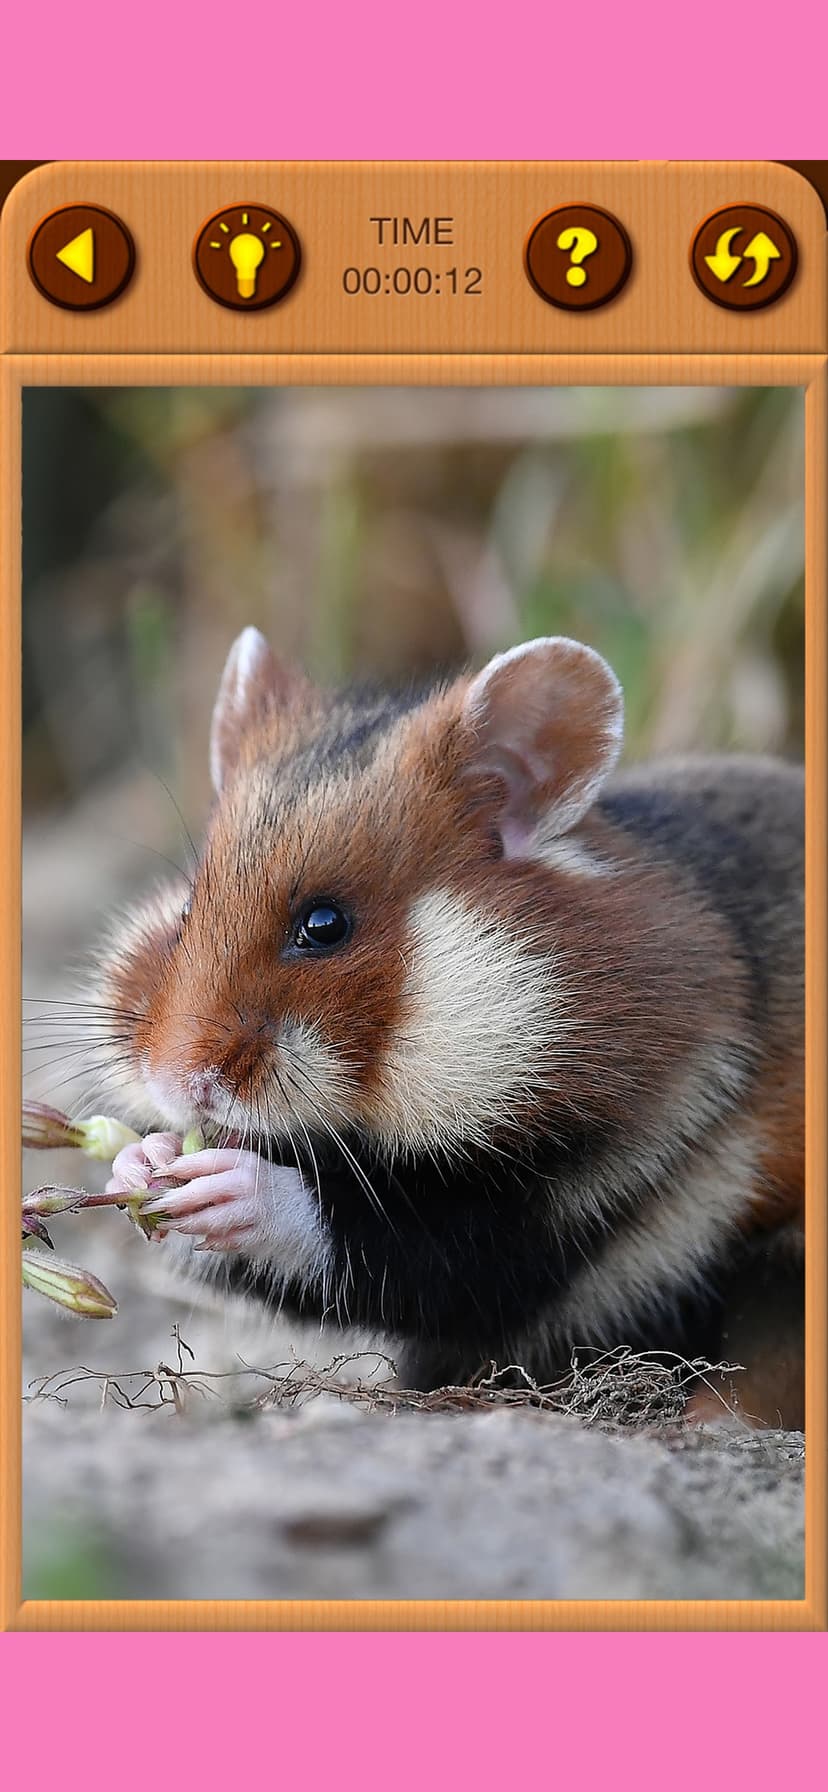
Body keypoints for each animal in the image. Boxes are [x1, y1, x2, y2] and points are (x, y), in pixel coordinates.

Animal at [95, 627, 805, 1426]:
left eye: (325, 925)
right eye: (187, 910)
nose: (176, 1085)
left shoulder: (577, 1199)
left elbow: (394, 1249)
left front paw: (222, 1182)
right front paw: (140, 1161)